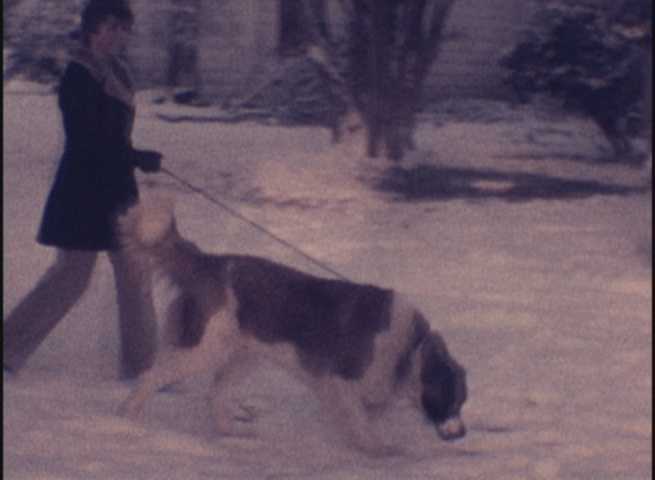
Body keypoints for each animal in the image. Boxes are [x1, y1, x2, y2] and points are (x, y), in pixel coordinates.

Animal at [116, 199, 466, 454]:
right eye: (453, 400)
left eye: (462, 402)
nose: (462, 433)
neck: (411, 346)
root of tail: (210, 263)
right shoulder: (338, 380)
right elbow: (360, 420)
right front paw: (377, 449)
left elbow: (367, 413)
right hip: (205, 350)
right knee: (152, 376)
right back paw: (129, 418)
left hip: (243, 356)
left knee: (215, 393)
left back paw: (234, 433)